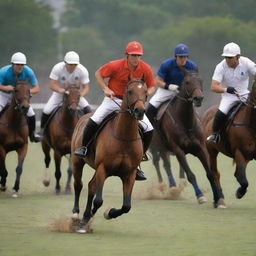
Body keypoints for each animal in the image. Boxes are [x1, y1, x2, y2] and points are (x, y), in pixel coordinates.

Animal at [71, 77, 147, 233]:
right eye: (130, 91)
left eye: (146, 92)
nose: (140, 111)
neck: (124, 136)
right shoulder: (103, 168)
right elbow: (98, 200)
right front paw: (86, 218)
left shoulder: (129, 174)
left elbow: (126, 206)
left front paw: (108, 213)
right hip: (77, 161)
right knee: (79, 185)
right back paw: (76, 215)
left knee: (91, 186)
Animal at [155, 69, 223, 207]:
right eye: (187, 82)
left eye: (201, 80)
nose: (198, 98)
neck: (185, 122)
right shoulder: (178, 149)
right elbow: (191, 175)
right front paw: (200, 196)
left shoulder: (201, 148)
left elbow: (210, 173)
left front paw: (218, 198)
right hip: (159, 147)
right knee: (165, 165)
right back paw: (171, 188)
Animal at [203, 81, 256, 209]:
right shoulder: (239, 151)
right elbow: (243, 180)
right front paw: (239, 193)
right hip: (211, 150)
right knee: (215, 173)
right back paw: (219, 200)